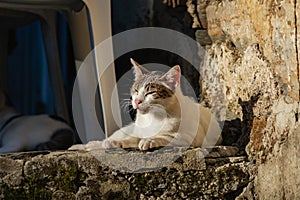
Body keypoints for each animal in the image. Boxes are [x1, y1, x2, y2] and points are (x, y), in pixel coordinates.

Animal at [69, 58, 221, 151]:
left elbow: (166, 136)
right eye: (136, 90)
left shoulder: (191, 136)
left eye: (150, 92)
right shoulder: (136, 132)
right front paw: (117, 143)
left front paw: (149, 140)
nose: (137, 101)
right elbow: (132, 138)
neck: (154, 117)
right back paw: (90, 145)